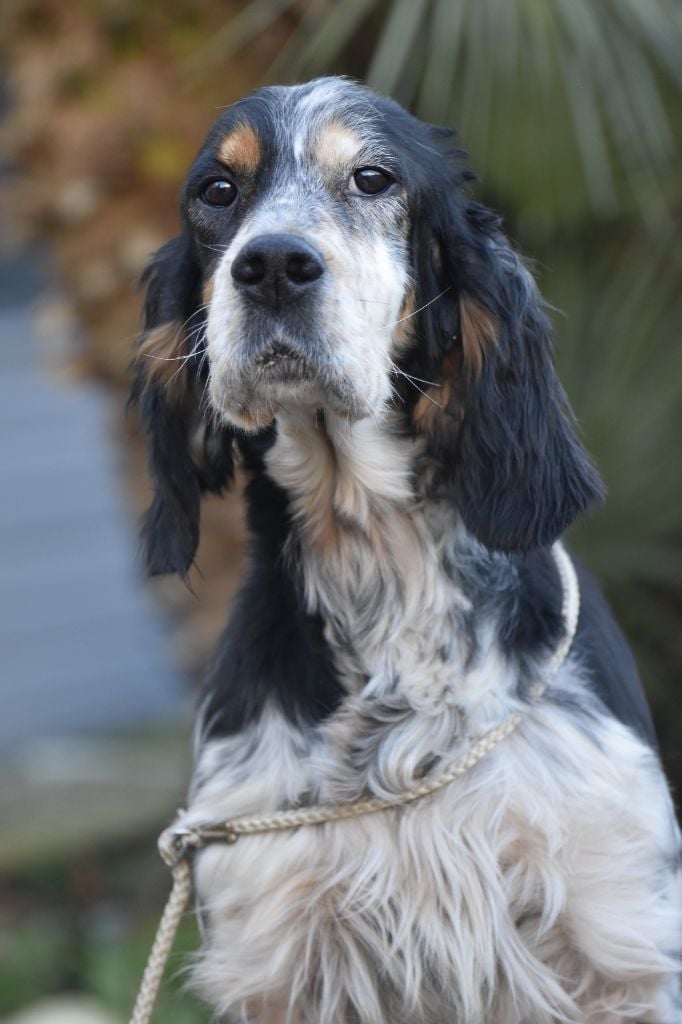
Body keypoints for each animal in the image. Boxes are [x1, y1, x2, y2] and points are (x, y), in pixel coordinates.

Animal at [130, 75, 675, 1019]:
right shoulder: (279, 949)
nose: (271, 265)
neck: (378, 567)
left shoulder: (618, 938)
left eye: (373, 178)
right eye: (218, 191)